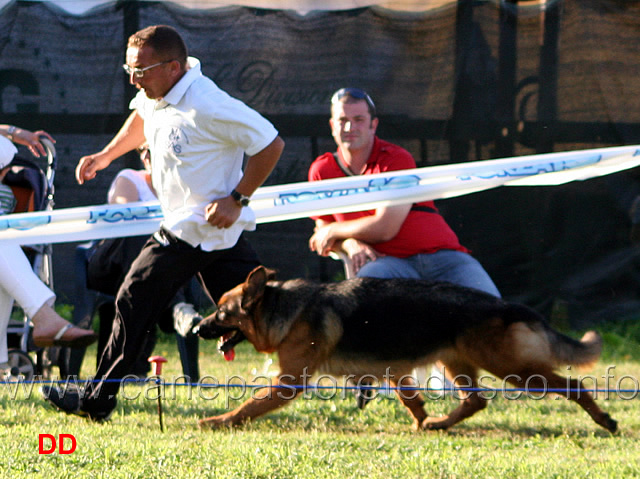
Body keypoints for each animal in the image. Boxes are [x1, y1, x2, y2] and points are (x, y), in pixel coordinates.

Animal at [196, 268, 620, 434]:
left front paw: (218, 420)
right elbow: (411, 399)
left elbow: (248, 406)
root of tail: (510, 306)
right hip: (456, 363)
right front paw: (422, 420)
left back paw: (605, 420)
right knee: (476, 401)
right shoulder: (396, 371)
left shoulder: (288, 383)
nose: (198, 328)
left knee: (574, 385)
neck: (286, 308)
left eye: (222, 313)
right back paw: (439, 424)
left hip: (513, 369)